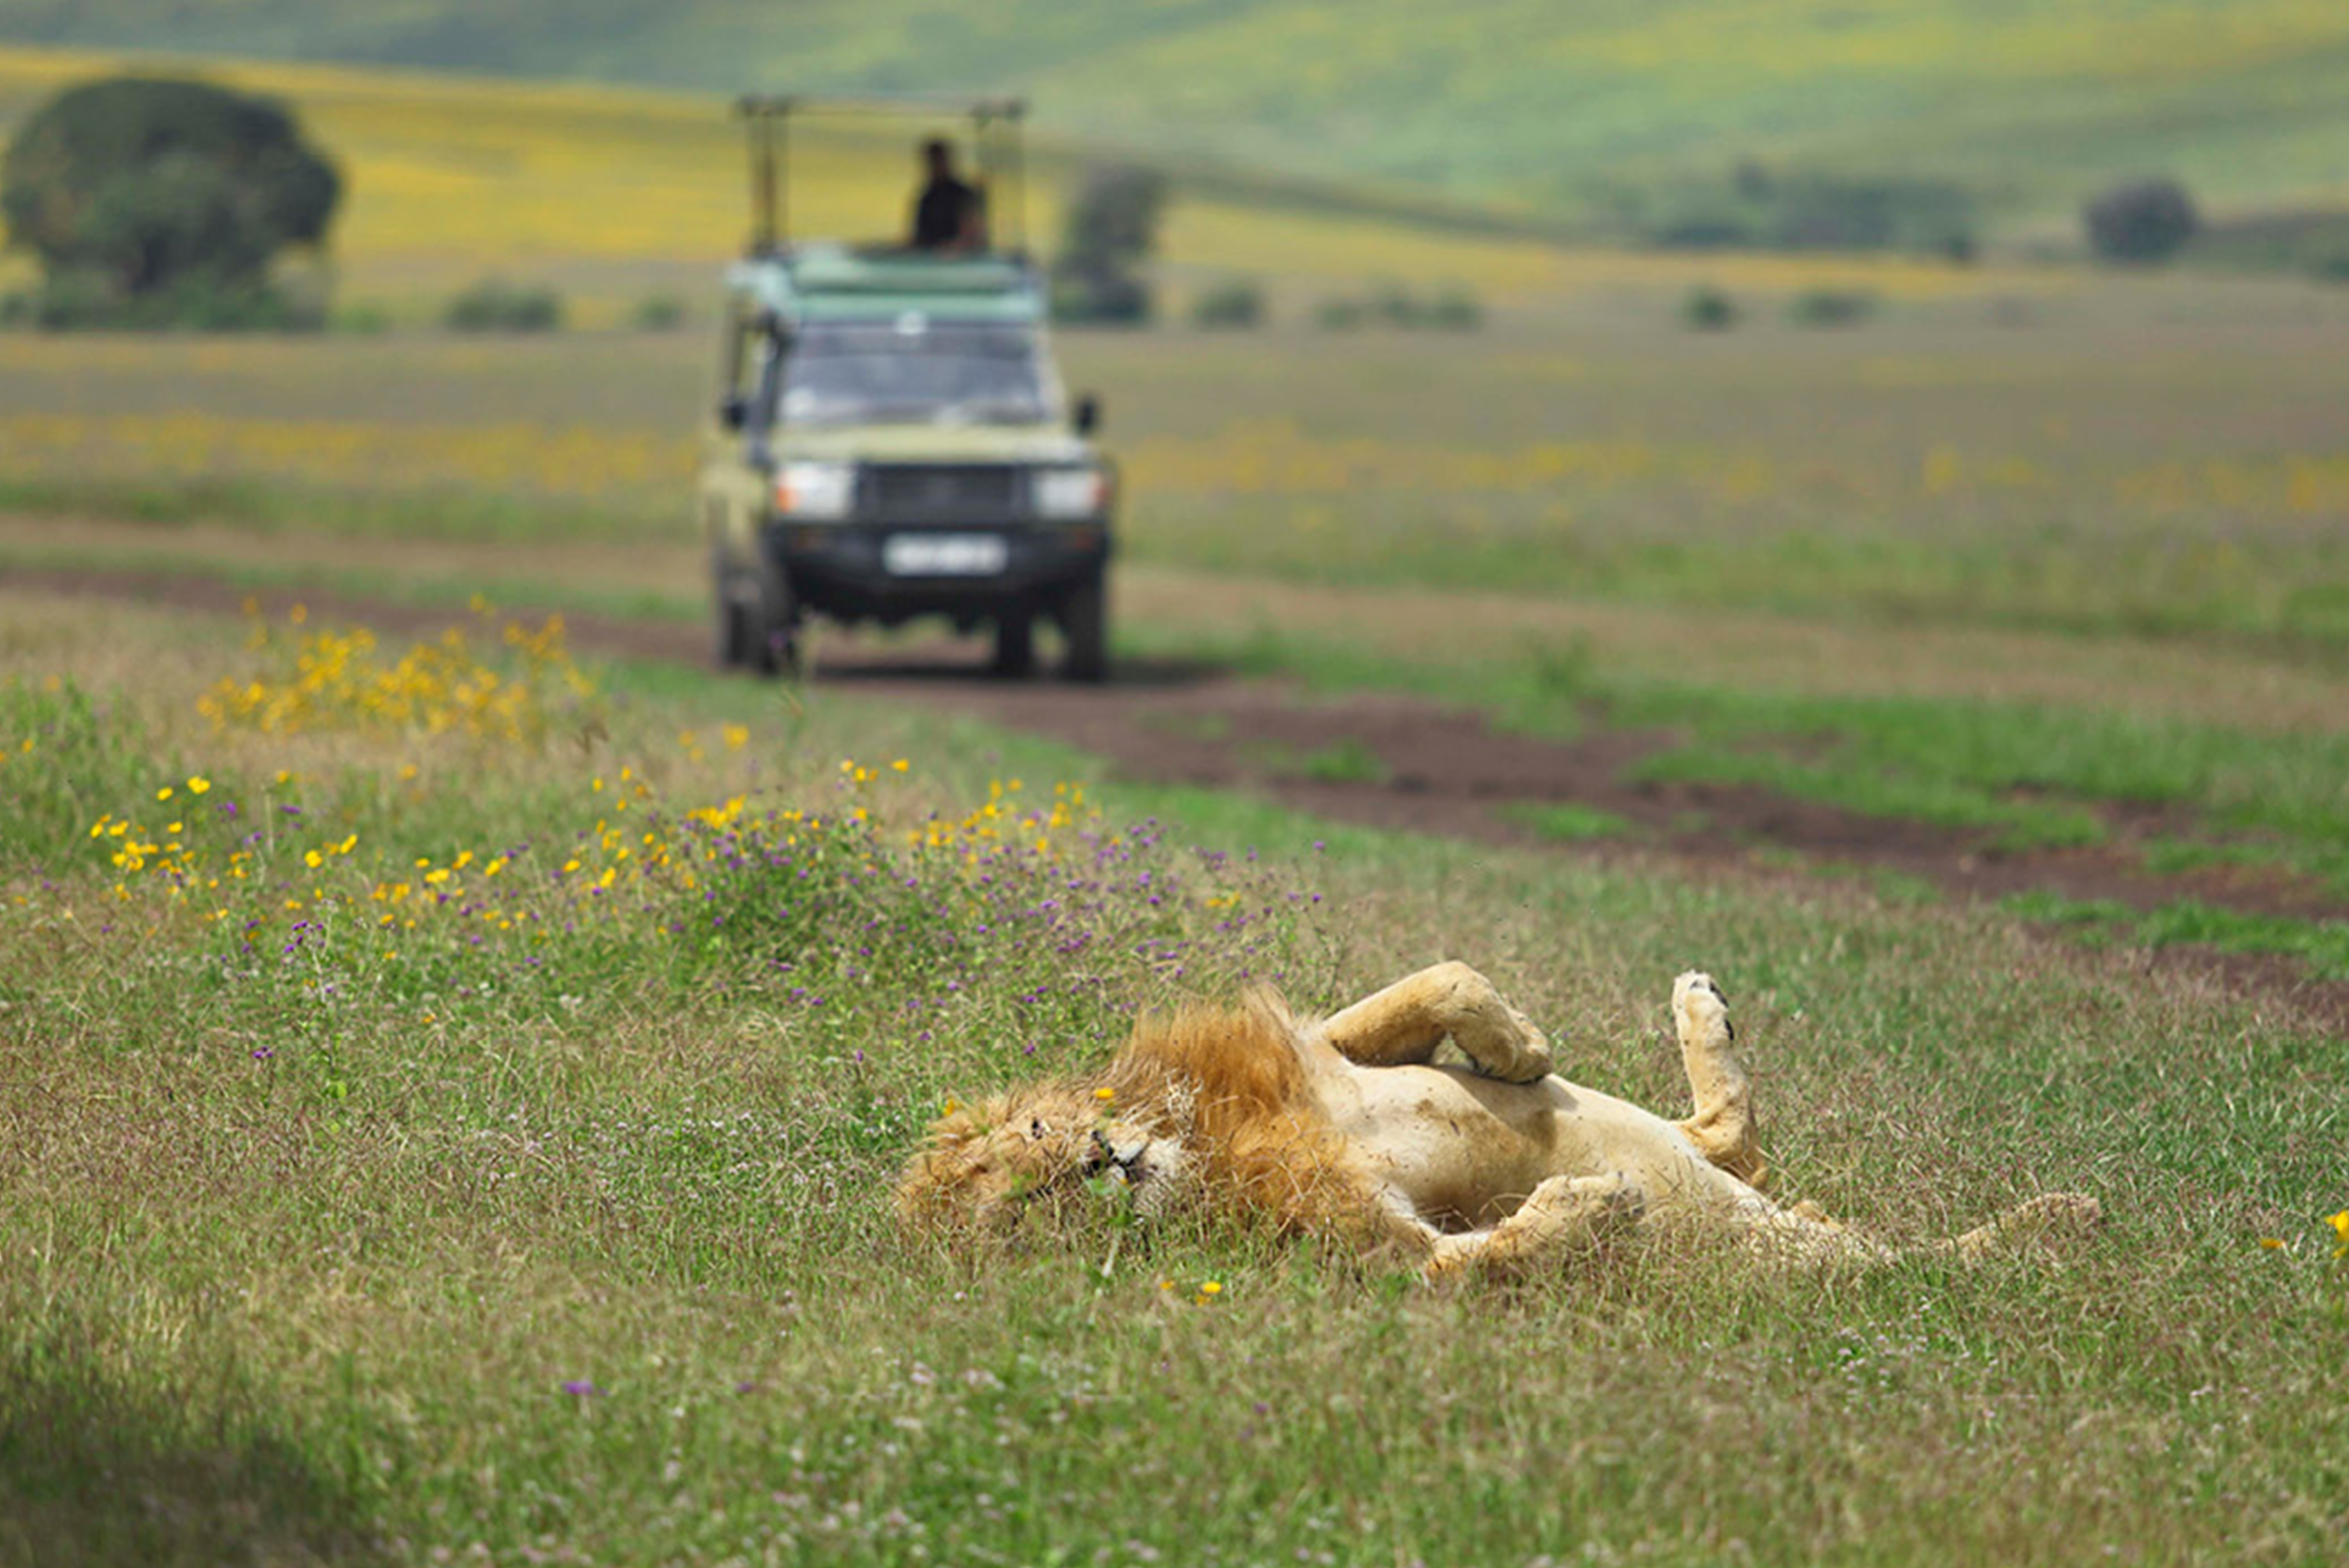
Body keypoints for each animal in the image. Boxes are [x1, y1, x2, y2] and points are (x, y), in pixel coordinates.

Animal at [896, 963, 2100, 1279]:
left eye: (1035, 1149)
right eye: (1023, 1217)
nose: (1099, 1163)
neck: (1202, 1150)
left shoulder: (1323, 1052)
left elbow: (1436, 985)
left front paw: (1516, 1047)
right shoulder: (1381, 1257)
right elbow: (1475, 1259)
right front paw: (1590, 1205)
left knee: (1729, 1136)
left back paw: (1699, 1004)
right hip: (1799, 1262)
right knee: (1911, 1264)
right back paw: (2060, 1218)